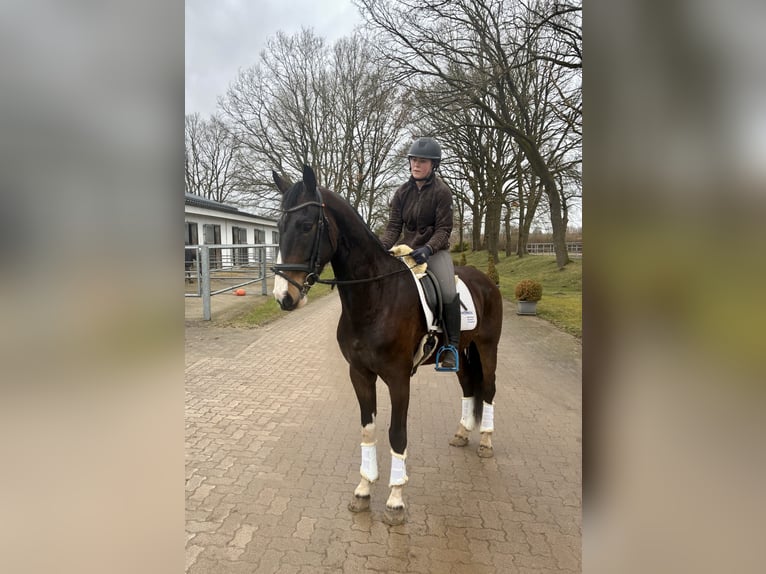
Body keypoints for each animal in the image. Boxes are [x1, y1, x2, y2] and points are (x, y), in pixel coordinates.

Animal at [272, 165, 503, 525]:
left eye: (307, 225)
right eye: (279, 226)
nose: (284, 296)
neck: (375, 297)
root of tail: (486, 281)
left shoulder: (397, 378)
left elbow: (397, 433)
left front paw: (395, 500)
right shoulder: (359, 374)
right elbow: (368, 430)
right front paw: (364, 491)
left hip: (488, 346)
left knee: (489, 388)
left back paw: (486, 442)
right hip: (461, 355)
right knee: (468, 386)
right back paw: (463, 433)